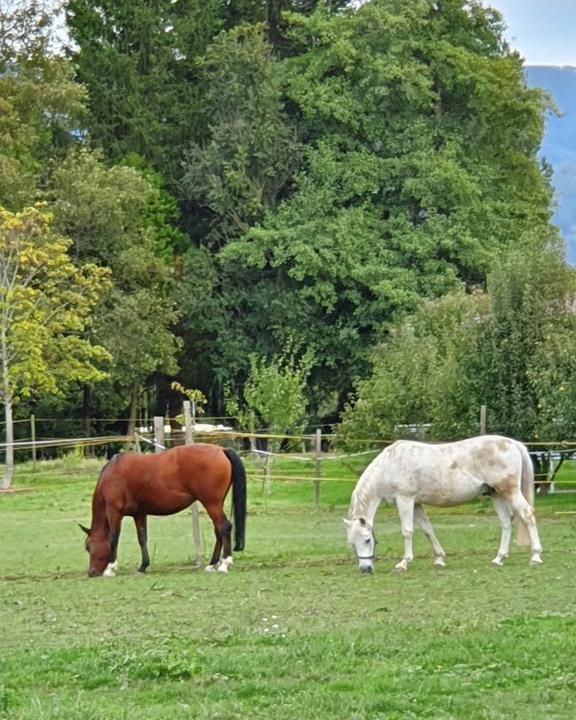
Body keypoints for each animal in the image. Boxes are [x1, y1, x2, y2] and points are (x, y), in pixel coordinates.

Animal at [79, 444, 245, 580]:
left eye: (88, 547)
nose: (92, 573)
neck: (112, 473)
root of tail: (221, 450)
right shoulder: (139, 514)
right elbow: (142, 538)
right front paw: (143, 566)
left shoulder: (114, 512)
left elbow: (114, 538)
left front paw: (110, 569)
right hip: (216, 504)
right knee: (218, 530)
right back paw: (212, 565)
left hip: (211, 503)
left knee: (224, 527)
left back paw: (224, 564)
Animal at [344, 434, 544, 572]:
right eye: (351, 543)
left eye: (367, 539)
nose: (365, 569)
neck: (390, 466)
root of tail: (512, 443)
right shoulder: (416, 503)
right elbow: (427, 529)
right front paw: (439, 559)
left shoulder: (405, 499)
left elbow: (407, 531)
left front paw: (403, 563)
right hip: (497, 494)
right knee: (505, 523)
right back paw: (498, 559)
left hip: (510, 491)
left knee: (527, 515)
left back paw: (535, 557)